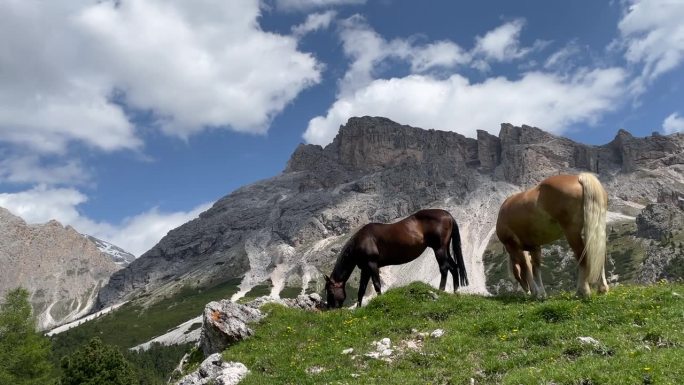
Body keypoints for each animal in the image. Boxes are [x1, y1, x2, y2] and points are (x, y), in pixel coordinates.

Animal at [324, 208, 464, 308]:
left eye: (330, 292)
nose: (331, 308)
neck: (362, 241)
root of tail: (447, 215)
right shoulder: (365, 269)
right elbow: (361, 289)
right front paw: (358, 308)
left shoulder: (372, 265)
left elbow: (377, 284)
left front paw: (380, 300)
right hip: (445, 249)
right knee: (454, 267)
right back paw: (456, 292)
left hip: (439, 249)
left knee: (444, 268)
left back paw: (441, 290)